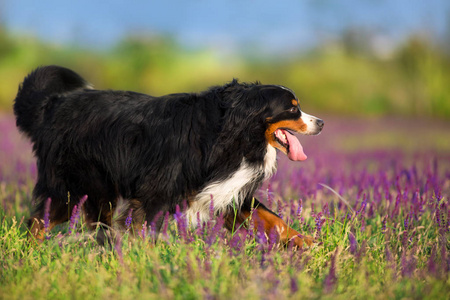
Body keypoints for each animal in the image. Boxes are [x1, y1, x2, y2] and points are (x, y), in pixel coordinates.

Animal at [14, 65, 324, 246]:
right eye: (292, 108)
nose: (320, 122)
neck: (235, 134)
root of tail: (54, 104)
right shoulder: (158, 192)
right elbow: (147, 229)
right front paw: (145, 262)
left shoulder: (228, 188)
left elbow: (272, 217)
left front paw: (307, 241)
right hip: (77, 186)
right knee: (40, 221)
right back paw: (32, 254)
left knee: (95, 225)